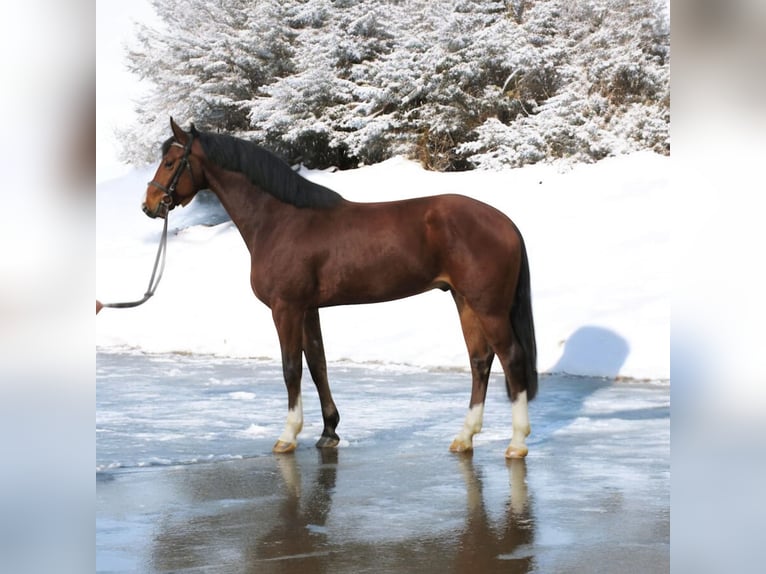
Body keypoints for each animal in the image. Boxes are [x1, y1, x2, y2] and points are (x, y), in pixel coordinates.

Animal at [144, 119, 540, 462]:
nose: (149, 205)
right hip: (465, 302)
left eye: (170, 162)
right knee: (480, 361)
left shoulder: (286, 308)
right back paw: (464, 437)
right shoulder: (308, 309)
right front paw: (328, 432)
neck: (280, 220)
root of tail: (505, 222)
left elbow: (291, 368)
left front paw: (288, 435)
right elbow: (317, 364)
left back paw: (517, 443)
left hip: (489, 307)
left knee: (511, 358)